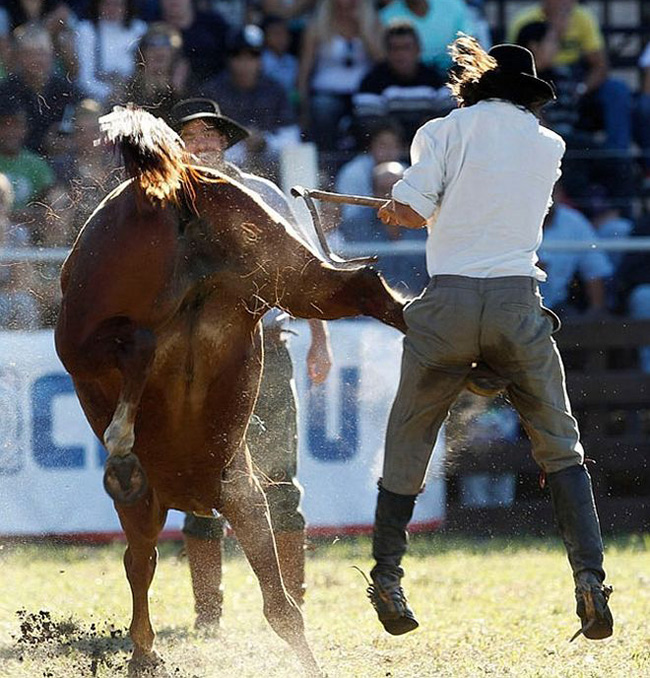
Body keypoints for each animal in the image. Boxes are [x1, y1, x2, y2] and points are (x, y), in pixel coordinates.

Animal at [55, 107, 402, 678]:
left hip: (79, 337)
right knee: (362, 287)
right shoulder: (240, 492)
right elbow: (278, 605)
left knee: (136, 345)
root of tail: (169, 191)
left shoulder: (205, 497)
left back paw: (121, 446)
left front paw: (144, 654)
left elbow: (142, 563)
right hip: (285, 271)